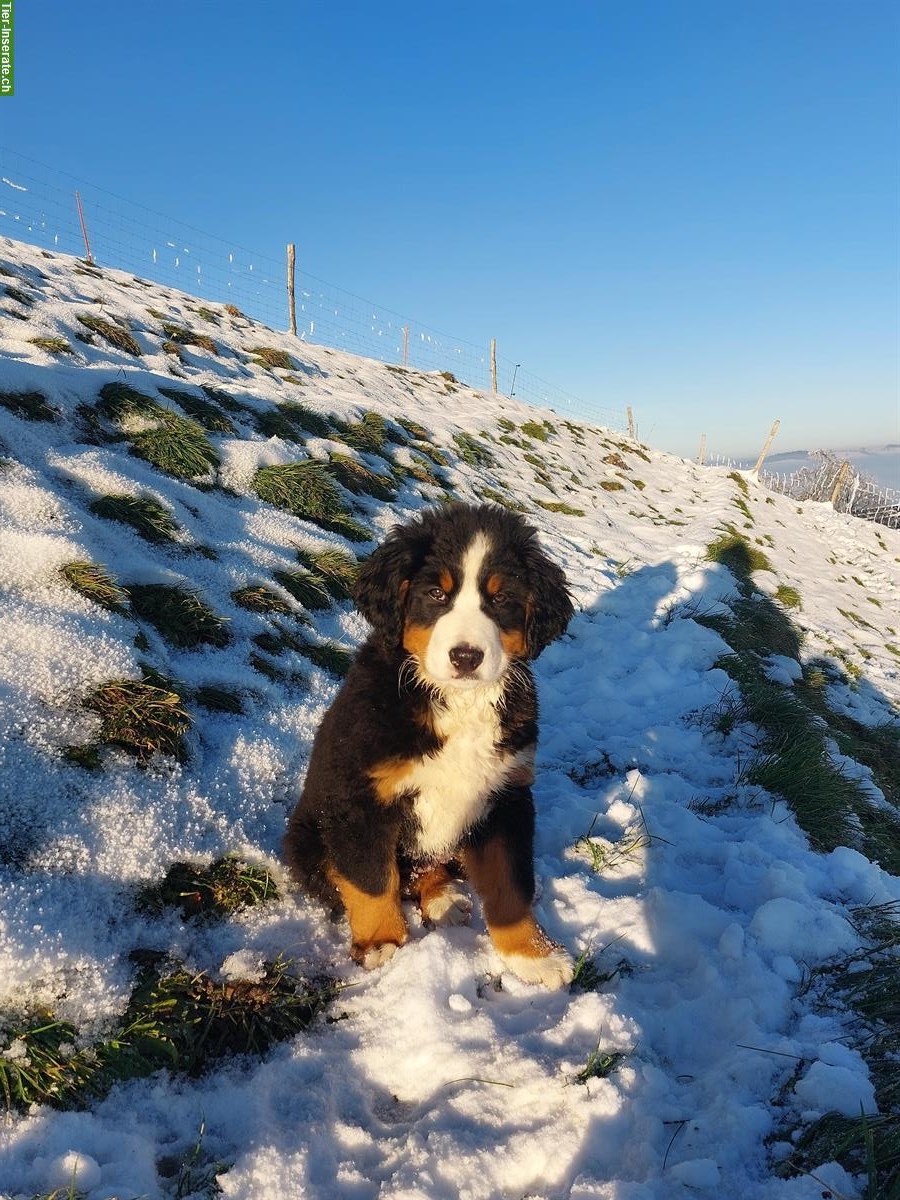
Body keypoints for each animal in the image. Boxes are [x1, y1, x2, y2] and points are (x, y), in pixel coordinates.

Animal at [283, 501, 578, 988]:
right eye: (436, 595)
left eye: (501, 600)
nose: (466, 657)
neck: (456, 702)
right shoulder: (360, 800)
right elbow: (370, 879)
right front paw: (381, 941)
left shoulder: (507, 796)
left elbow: (510, 883)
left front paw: (531, 955)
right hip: (309, 833)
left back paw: (442, 898)